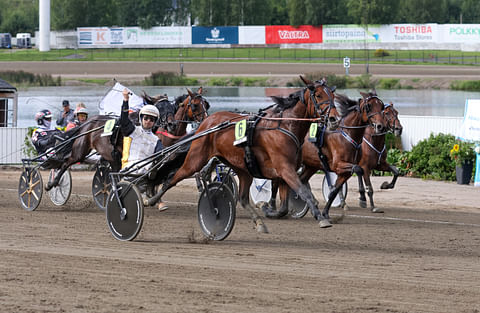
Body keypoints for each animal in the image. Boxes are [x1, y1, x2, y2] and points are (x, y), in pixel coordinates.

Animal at [146, 76, 338, 230]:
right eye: (318, 95)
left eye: (332, 95)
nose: (334, 119)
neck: (285, 126)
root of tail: (207, 122)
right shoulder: (285, 169)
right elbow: (304, 193)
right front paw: (321, 218)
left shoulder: (286, 172)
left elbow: (284, 206)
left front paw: (268, 209)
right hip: (195, 159)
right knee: (173, 178)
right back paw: (153, 199)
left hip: (243, 169)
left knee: (242, 198)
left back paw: (259, 223)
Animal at [264, 89, 388, 219]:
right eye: (369, 106)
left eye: (382, 106)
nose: (381, 126)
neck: (347, 134)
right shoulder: (338, 165)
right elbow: (359, 169)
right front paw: (362, 198)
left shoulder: (344, 171)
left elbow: (334, 192)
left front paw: (325, 213)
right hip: (283, 162)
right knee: (275, 182)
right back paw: (272, 206)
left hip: (311, 166)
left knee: (300, 180)